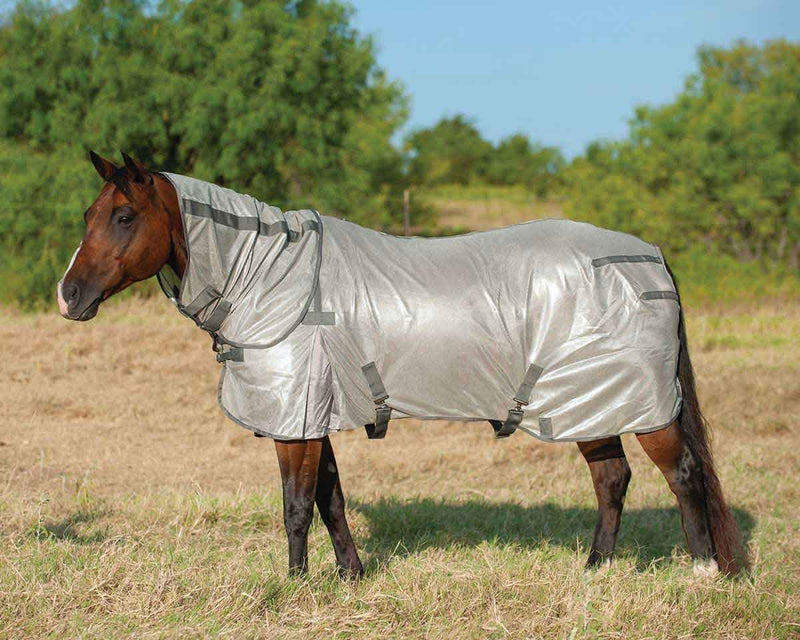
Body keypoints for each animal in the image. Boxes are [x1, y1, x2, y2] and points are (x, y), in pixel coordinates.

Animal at [57, 151, 748, 577]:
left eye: (124, 215)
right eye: (88, 214)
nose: (69, 295)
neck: (274, 280)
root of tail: (650, 256)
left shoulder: (295, 422)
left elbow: (296, 505)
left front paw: (292, 588)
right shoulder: (316, 417)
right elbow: (330, 500)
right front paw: (350, 577)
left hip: (641, 405)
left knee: (682, 475)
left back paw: (702, 571)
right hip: (590, 403)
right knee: (612, 480)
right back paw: (595, 568)